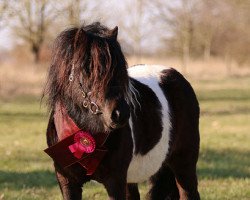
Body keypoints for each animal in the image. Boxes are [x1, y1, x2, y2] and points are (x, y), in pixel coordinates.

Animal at [45, 22, 200, 199]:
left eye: (119, 69)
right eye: (87, 69)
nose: (120, 114)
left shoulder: (115, 181)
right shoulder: (67, 182)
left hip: (184, 164)